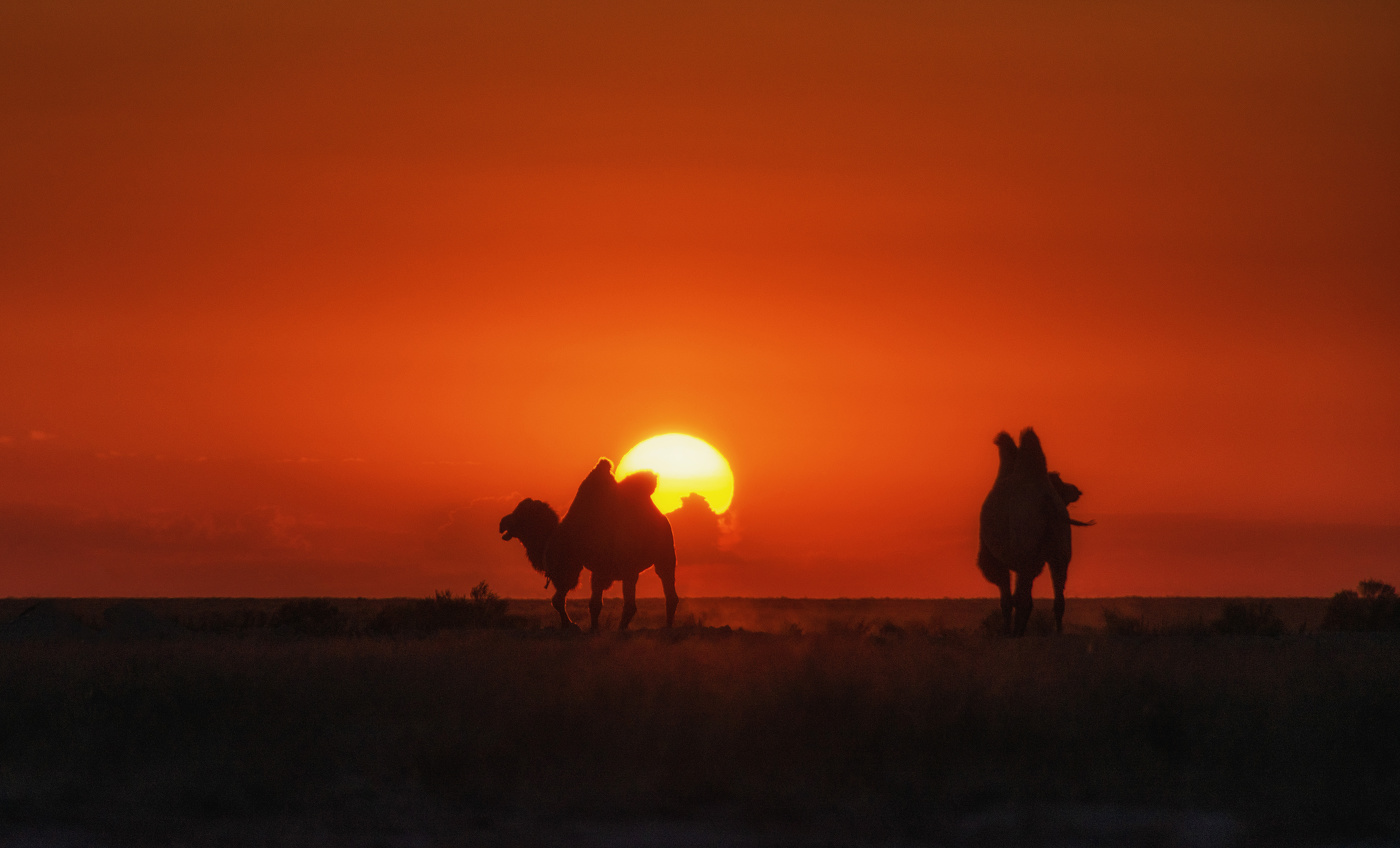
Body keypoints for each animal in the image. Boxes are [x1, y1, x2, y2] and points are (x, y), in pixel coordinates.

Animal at [501, 458, 680, 632]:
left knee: (631, 603)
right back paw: (667, 627)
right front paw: (592, 627)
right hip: (663, 556)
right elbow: (594, 604)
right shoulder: (598, 570)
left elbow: (558, 599)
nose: (502, 523)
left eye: (521, 514)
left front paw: (572, 625)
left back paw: (622, 629)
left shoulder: (570, 567)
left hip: (633, 563)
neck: (551, 538)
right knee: (669, 592)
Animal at [980, 430, 1086, 638]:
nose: (1076, 490)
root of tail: (1047, 501)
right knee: (1058, 597)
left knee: (1023, 599)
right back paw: (1057, 633)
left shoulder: (995, 559)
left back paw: (1017, 633)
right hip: (1060, 551)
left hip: (1026, 551)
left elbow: (1007, 600)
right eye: (1059, 482)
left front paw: (1006, 633)